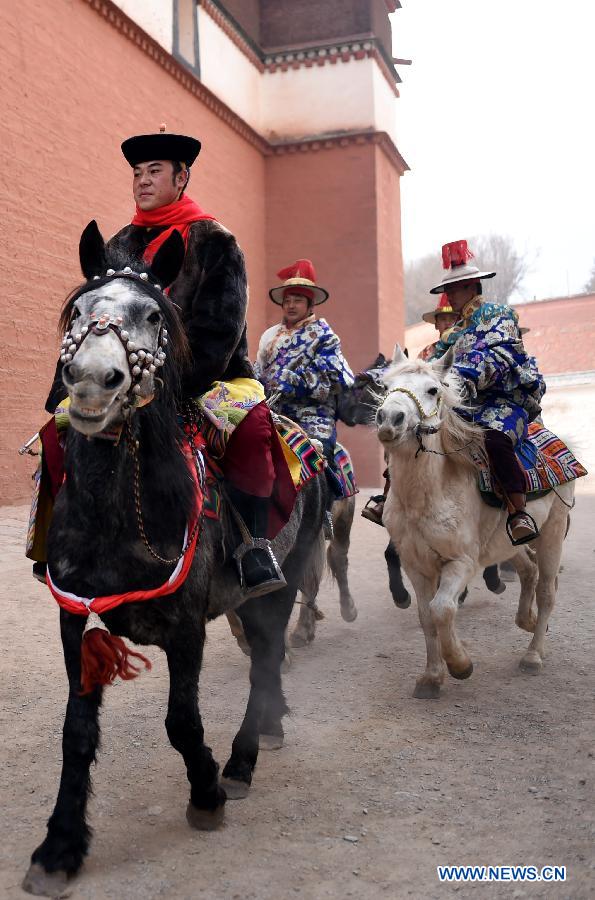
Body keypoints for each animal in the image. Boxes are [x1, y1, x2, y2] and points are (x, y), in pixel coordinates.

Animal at [24, 221, 330, 896]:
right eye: (79, 311)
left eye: (151, 314)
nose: (92, 381)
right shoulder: (72, 617)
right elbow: (76, 733)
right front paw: (59, 846)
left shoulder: (188, 626)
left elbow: (181, 722)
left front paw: (207, 791)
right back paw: (271, 727)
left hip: (282, 582)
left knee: (265, 660)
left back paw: (242, 760)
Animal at [378, 348, 572, 700]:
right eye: (385, 386)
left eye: (433, 390)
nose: (389, 419)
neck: (427, 495)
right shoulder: (415, 565)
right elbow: (426, 616)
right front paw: (431, 677)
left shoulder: (461, 562)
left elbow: (442, 608)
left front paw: (459, 665)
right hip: (509, 543)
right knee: (528, 571)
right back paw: (527, 621)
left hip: (552, 533)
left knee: (546, 590)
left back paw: (533, 655)